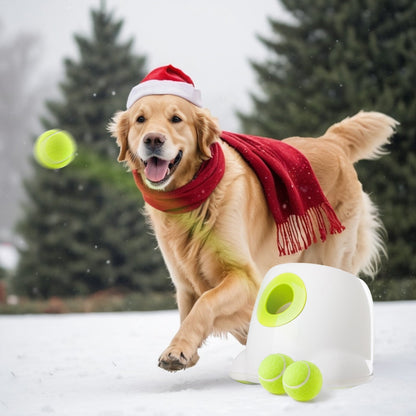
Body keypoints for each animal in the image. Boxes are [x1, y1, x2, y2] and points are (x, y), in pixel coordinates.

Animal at [109, 92, 396, 372]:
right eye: (140, 119)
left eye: (176, 119)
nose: (153, 139)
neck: (195, 200)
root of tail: (331, 141)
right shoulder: (184, 283)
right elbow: (192, 312)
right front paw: (185, 349)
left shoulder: (246, 277)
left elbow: (206, 302)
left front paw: (177, 351)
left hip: (333, 255)